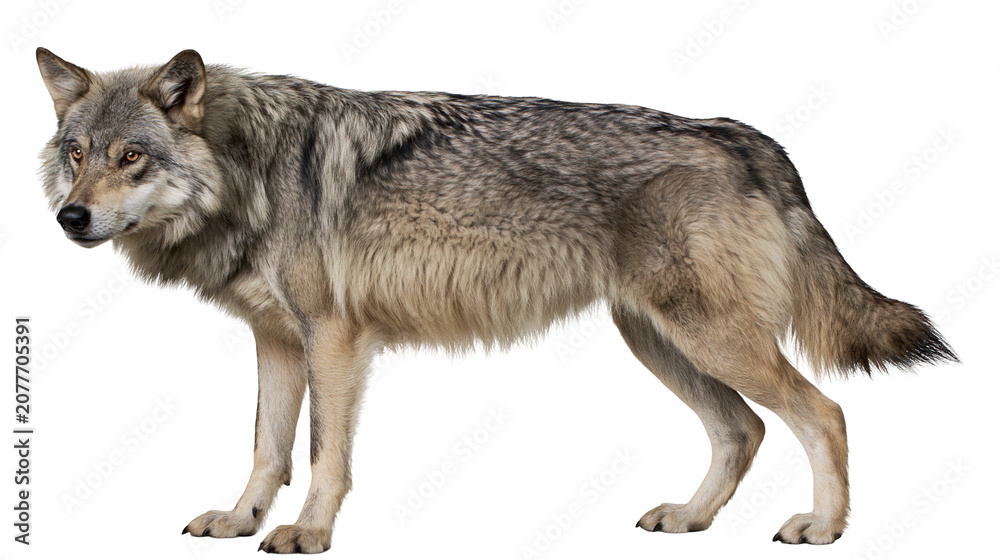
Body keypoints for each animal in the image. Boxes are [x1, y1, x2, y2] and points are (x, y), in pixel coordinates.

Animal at [36, 48, 955, 553]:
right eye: (77, 153)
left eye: (130, 155)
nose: (68, 217)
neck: (247, 166)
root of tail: (750, 138)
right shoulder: (277, 342)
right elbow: (266, 449)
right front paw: (240, 521)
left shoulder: (333, 337)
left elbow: (324, 456)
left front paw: (307, 534)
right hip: (660, 342)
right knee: (746, 429)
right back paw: (690, 518)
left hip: (708, 340)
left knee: (823, 412)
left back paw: (823, 528)